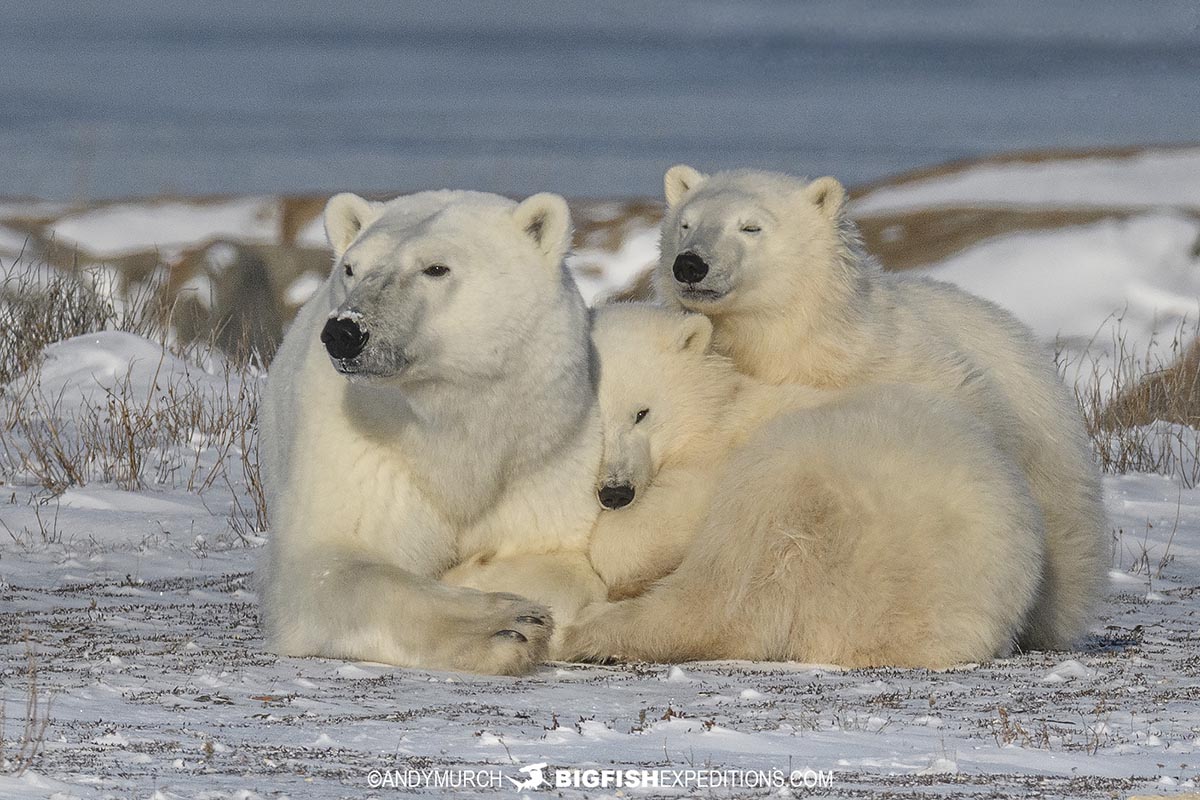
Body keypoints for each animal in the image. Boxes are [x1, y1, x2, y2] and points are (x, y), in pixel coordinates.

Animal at [259, 189, 604, 676]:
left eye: (436, 268)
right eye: (351, 268)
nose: (345, 331)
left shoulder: (547, 452)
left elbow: (566, 563)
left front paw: (474, 572)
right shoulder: (358, 451)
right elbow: (335, 564)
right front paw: (508, 624)